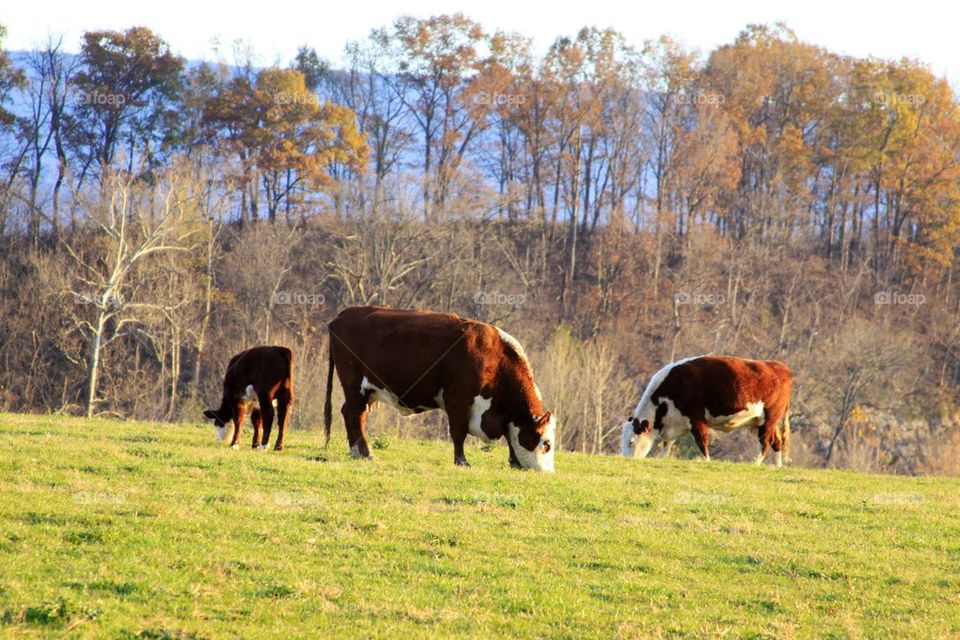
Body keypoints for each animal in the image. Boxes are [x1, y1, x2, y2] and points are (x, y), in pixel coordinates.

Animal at [323, 306, 555, 471]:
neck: (497, 357)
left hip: (364, 392)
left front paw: (514, 460)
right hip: (354, 386)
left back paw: (358, 451)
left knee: (353, 414)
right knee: (353, 414)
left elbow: (509, 434)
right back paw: (364, 452)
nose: (548, 472)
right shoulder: (458, 400)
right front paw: (461, 461)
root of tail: (343, 315)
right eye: (546, 444)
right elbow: (458, 433)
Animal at [620, 355, 792, 466]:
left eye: (631, 442)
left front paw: (706, 461)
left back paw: (754, 463)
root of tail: (780, 366)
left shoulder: (696, 419)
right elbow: (667, 444)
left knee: (766, 441)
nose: (625, 459)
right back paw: (777, 466)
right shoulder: (675, 422)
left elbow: (701, 440)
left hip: (769, 418)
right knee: (776, 441)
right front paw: (662, 458)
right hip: (767, 421)